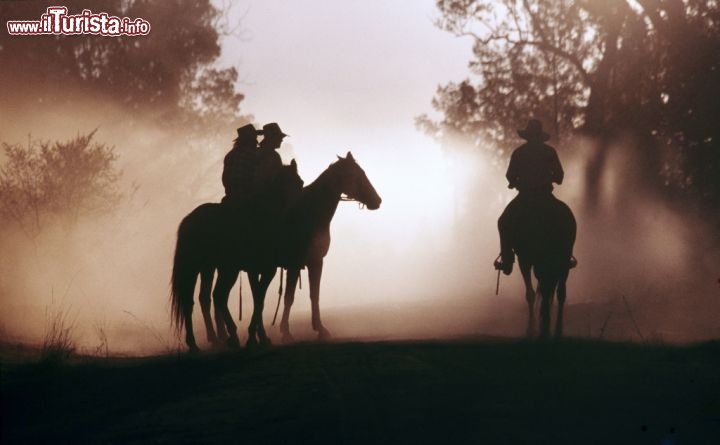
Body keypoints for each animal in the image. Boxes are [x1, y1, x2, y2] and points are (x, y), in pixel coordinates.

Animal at [172, 160, 304, 350]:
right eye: (295, 183)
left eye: (300, 182)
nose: (299, 208)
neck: (261, 218)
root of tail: (189, 220)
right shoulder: (265, 270)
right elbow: (259, 301)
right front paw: (254, 338)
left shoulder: (258, 270)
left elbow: (258, 299)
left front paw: (259, 336)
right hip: (215, 269)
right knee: (216, 296)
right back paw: (228, 337)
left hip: (209, 268)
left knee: (201, 299)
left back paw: (201, 342)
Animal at [278, 151, 382, 342]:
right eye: (358, 174)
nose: (377, 200)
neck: (308, 212)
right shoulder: (298, 264)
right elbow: (290, 297)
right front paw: (286, 332)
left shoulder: (315, 261)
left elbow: (314, 295)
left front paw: (319, 328)